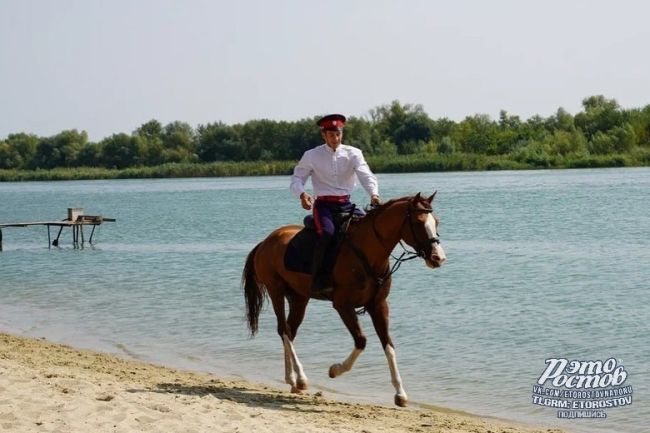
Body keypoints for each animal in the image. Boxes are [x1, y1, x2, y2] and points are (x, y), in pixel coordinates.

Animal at [240, 192, 442, 404]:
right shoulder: (343, 305)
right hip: (276, 291)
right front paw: (335, 370)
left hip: (299, 298)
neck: (367, 252)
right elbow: (361, 341)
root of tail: (266, 241)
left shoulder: (378, 305)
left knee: (290, 330)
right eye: (419, 222)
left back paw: (292, 380)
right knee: (284, 330)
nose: (438, 258)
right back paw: (301, 378)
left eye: (436, 222)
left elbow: (388, 345)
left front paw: (400, 393)